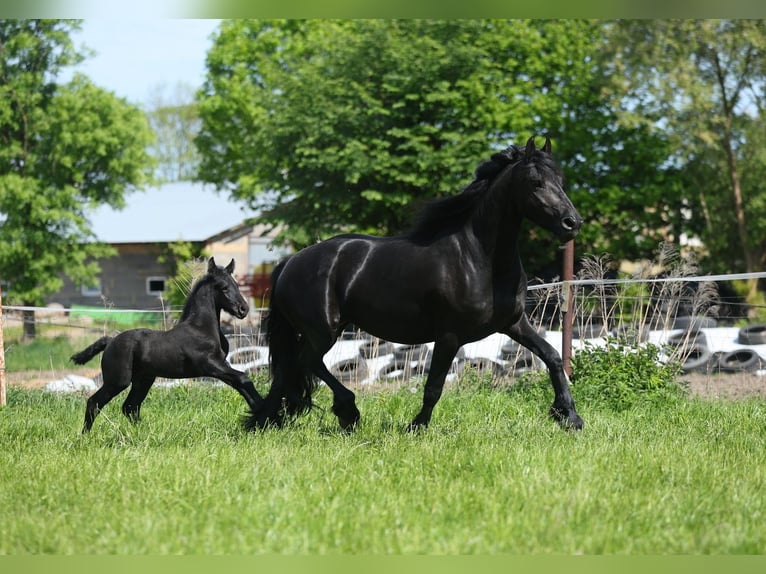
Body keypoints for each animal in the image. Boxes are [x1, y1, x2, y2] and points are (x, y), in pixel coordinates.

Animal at [73, 258, 264, 434]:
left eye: (236, 285)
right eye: (223, 287)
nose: (243, 309)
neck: (201, 328)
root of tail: (110, 341)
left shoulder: (221, 366)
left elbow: (241, 383)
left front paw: (260, 417)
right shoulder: (212, 365)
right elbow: (243, 379)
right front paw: (263, 415)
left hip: (143, 380)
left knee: (130, 407)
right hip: (118, 381)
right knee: (95, 402)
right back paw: (85, 436)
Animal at [249, 137, 584, 434]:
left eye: (560, 179)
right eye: (535, 181)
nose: (572, 223)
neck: (479, 258)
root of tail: (290, 263)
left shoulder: (514, 323)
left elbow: (553, 357)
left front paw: (570, 416)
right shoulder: (449, 335)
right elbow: (434, 385)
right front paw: (416, 426)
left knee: (288, 370)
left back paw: (263, 421)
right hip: (323, 330)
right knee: (308, 362)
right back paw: (347, 411)